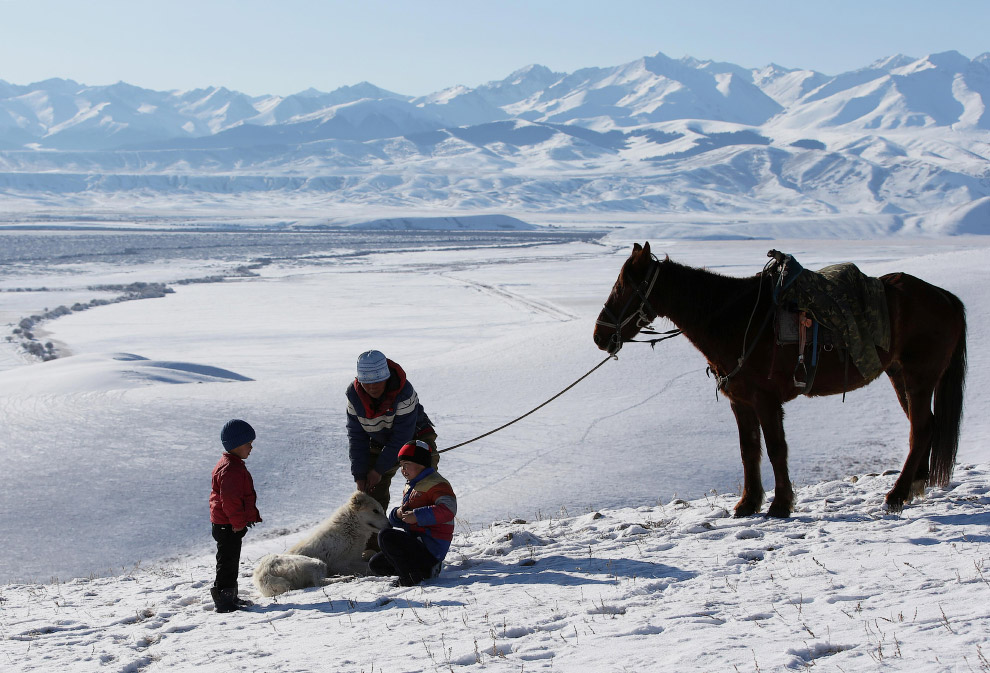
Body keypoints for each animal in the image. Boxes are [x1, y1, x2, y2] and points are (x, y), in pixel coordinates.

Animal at [254, 488, 390, 600]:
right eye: (375, 511)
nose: (390, 524)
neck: (350, 529)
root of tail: (263, 575)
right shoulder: (341, 564)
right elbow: (366, 565)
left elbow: (369, 553)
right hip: (315, 562)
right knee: (319, 581)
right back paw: (346, 578)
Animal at [596, 242, 968, 516]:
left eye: (624, 286)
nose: (600, 336)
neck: (734, 318)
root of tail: (945, 297)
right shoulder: (741, 401)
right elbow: (749, 450)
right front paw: (748, 503)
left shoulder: (765, 399)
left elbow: (776, 449)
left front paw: (780, 504)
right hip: (900, 376)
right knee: (924, 425)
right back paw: (915, 484)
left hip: (918, 378)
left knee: (921, 428)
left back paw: (896, 494)